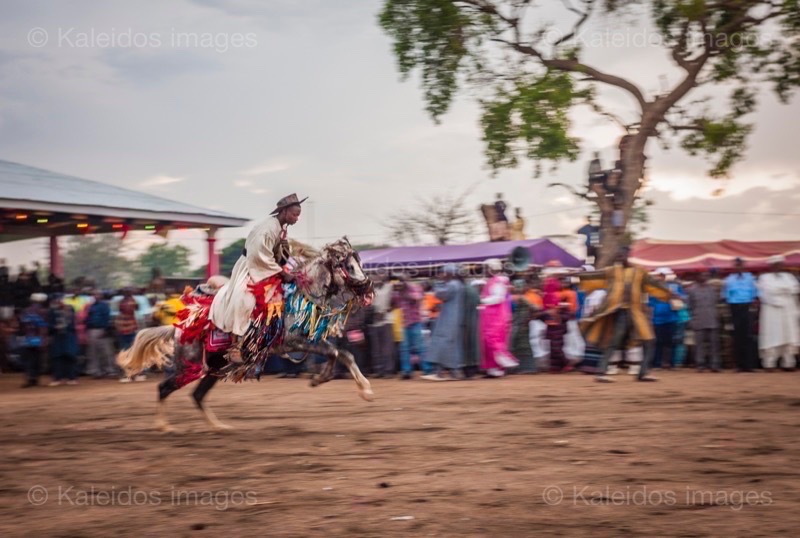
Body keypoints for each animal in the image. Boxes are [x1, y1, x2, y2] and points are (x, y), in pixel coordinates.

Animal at [118, 237, 376, 430]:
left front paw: (352, 386)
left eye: (358, 262)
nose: (369, 289)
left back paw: (219, 427)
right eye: (348, 266)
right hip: (190, 366)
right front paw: (336, 382)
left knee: (198, 396)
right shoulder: (293, 342)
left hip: (214, 368)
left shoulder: (308, 340)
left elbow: (342, 354)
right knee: (165, 388)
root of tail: (178, 328)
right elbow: (336, 353)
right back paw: (164, 426)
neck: (299, 295)